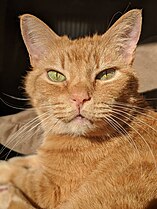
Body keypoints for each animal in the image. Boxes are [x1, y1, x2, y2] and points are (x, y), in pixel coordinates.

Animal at [0, 8, 157, 209]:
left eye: (106, 74)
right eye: (55, 75)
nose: (80, 98)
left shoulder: (50, 190)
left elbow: (24, 177)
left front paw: (6, 172)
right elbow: (31, 160)